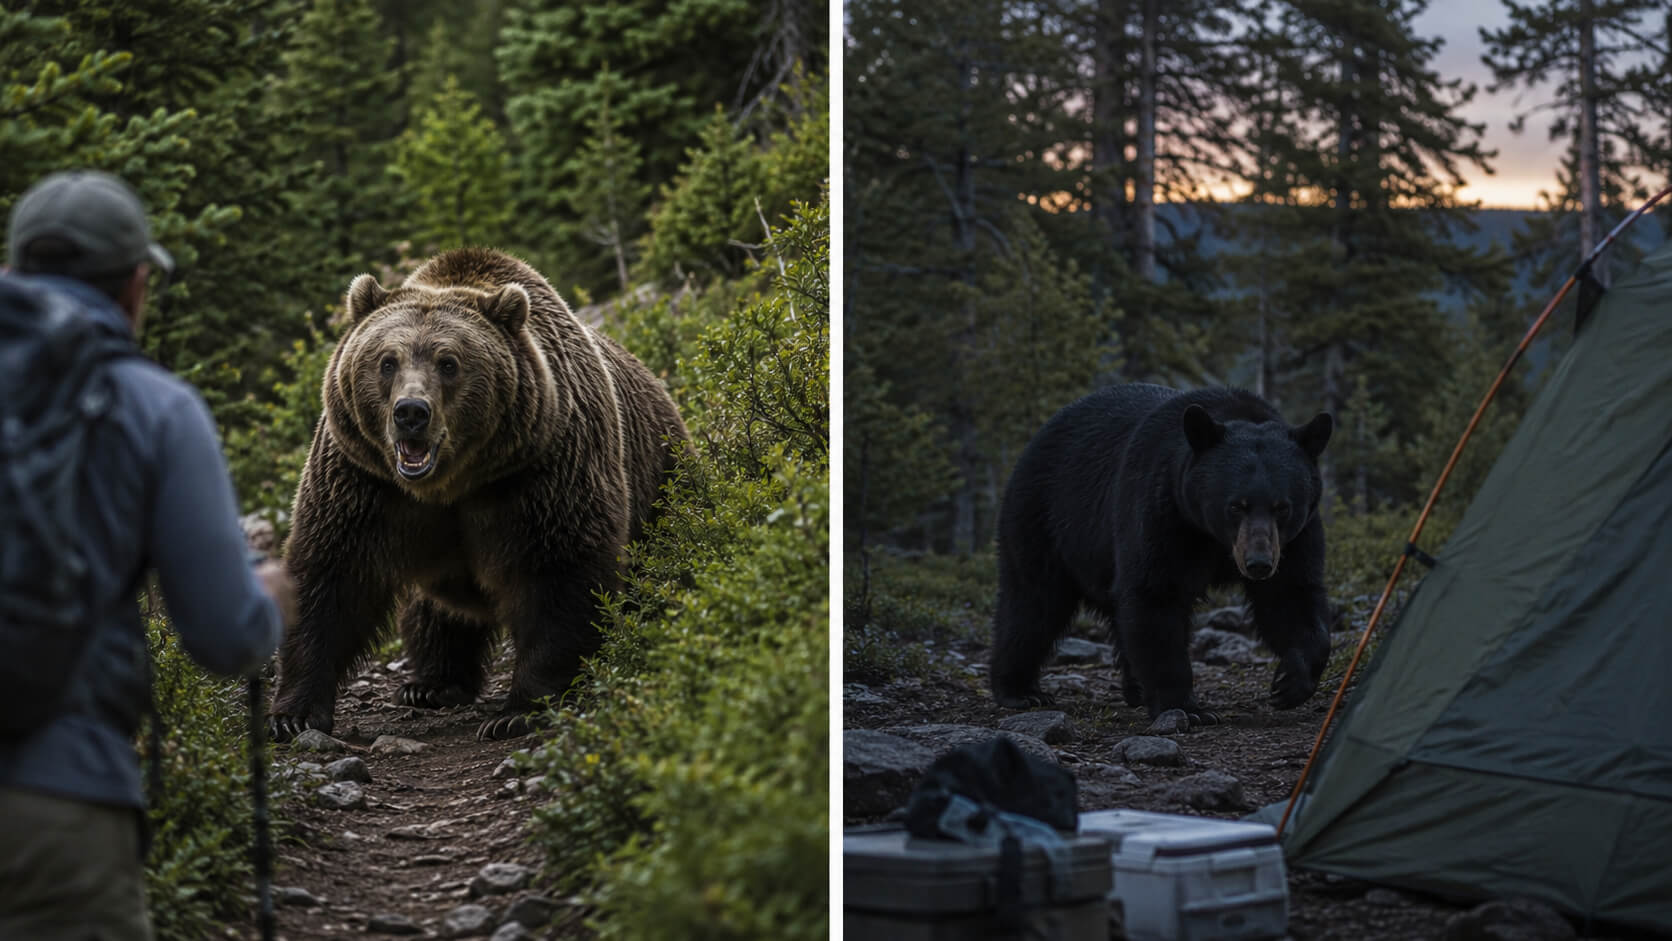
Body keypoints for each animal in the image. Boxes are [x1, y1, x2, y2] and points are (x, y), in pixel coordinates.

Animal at [269, 247, 689, 742]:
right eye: (387, 361)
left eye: (448, 362)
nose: (411, 413)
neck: (450, 483)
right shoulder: (361, 481)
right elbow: (330, 574)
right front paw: (292, 714)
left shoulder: (543, 470)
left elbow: (559, 571)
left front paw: (521, 710)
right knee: (434, 610)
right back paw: (431, 684)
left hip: (662, 477)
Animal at [989, 383, 1333, 727]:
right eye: (1236, 505)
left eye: (1282, 507)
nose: (1258, 564)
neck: (1212, 537)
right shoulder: (1164, 511)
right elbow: (1155, 595)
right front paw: (1186, 707)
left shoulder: (1296, 537)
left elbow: (1291, 596)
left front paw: (1290, 682)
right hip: (1045, 517)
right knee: (1033, 603)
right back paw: (1019, 690)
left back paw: (1136, 689)